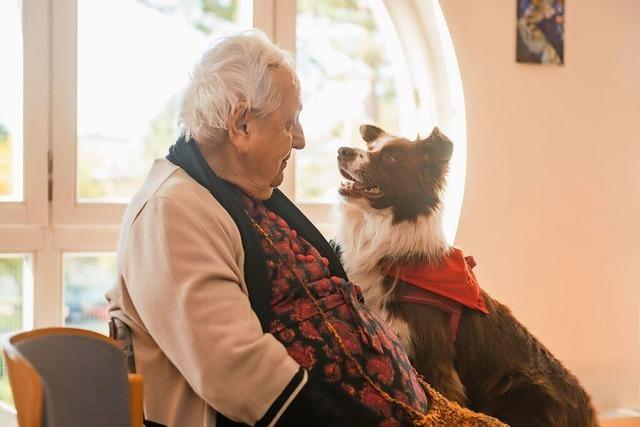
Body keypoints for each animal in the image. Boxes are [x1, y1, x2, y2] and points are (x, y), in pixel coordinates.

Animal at [336, 124, 600, 427]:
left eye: (391, 158)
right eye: (370, 148)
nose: (342, 151)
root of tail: (588, 413)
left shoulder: (433, 359)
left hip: (518, 382)